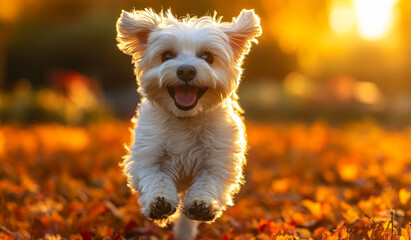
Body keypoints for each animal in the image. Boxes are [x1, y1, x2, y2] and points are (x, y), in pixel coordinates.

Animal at [117, 8, 262, 239]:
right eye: (167, 56)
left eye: (207, 57)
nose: (186, 70)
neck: (186, 119)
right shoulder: (148, 157)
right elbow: (156, 177)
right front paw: (159, 202)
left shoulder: (217, 161)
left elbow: (209, 182)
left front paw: (202, 205)